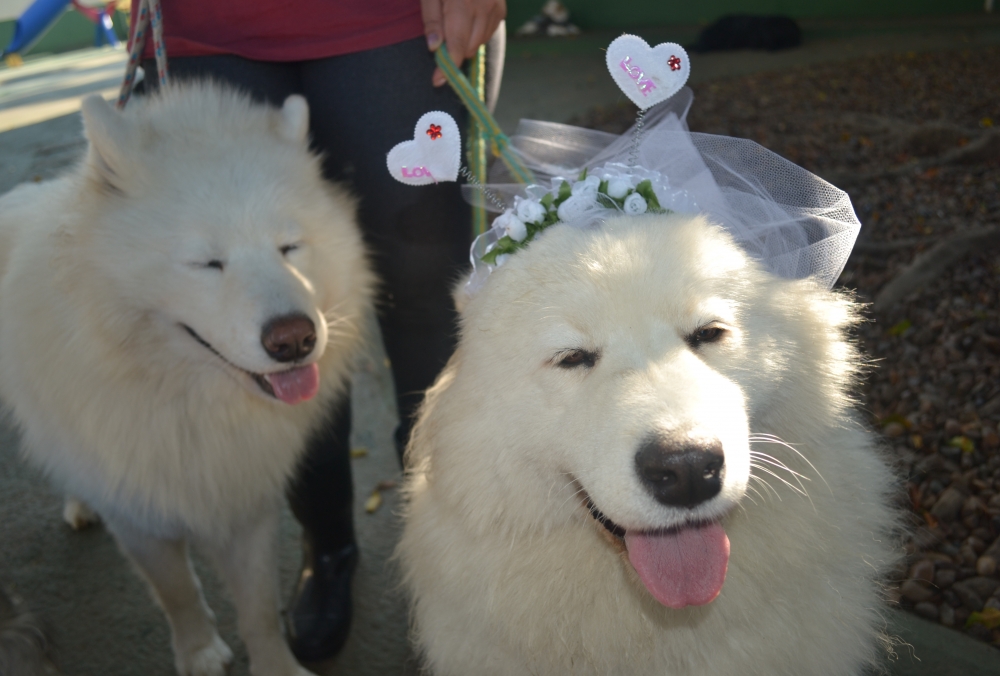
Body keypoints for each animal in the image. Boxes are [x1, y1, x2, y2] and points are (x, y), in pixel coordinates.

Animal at [0, 84, 374, 676]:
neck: (189, 402)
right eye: (207, 263)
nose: (294, 339)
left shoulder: (248, 506)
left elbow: (259, 609)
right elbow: (176, 590)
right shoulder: (140, 517)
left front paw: (275, 665)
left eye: (289, 247)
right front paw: (198, 652)